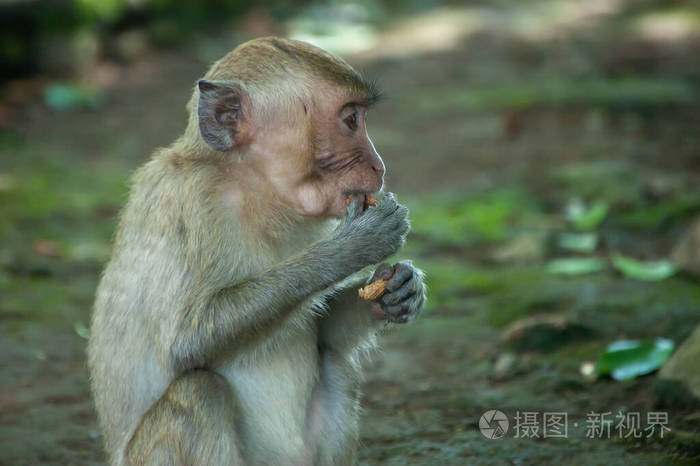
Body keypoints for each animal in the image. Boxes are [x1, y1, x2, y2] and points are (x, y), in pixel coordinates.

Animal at [87, 37, 426, 466]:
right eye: (351, 120)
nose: (380, 166)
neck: (253, 188)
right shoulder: (189, 202)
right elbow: (184, 341)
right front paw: (354, 245)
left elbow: (324, 333)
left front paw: (399, 290)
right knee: (199, 391)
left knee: (335, 363)